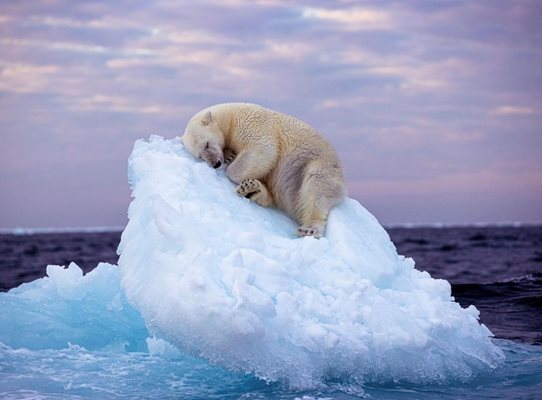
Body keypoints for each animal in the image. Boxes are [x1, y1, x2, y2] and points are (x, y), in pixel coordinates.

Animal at [181, 102, 346, 238]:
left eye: (207, 144)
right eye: (200, 156)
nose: (215, 163)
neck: (230, 117)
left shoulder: (251, 124)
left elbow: (264, 149)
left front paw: (231, 164)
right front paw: (229, 156)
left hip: (318, 163)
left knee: (316, 186)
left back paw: (309, 228)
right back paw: (252, 189)